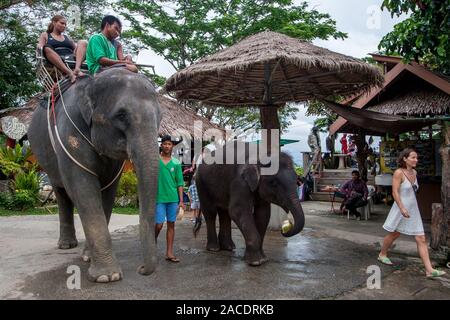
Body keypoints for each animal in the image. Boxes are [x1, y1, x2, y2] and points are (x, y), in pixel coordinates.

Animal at [27, 68, 161, 282]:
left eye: (160, 116)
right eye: (121, 115)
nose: (141, 269)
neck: (93, 82)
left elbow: (108, 192)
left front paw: (89, 258)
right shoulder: (69, 133)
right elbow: (83, 188)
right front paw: (107, 277)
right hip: (45, 157)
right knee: (61, 191)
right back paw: (66, 245)